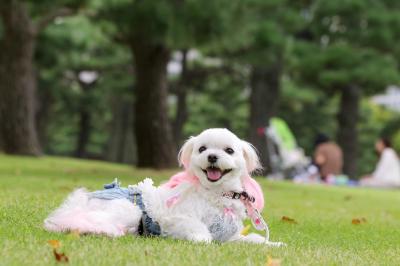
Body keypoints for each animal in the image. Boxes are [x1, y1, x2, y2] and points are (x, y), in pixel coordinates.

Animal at [43, 129, 282, 245]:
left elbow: (252, 240)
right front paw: (201, 239)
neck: (215, 194)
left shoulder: (230, 237)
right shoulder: (177, 218)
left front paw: (273, 245)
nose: (212, 156)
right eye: (202, 149)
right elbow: (196, 228)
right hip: (129, 209)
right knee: (88, 222)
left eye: (229, 151)